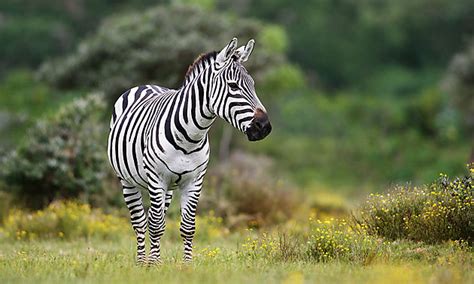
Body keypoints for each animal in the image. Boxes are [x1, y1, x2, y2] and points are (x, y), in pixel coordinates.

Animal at [106, 37, 272, 264]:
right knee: (140, 222)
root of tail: (146, 85)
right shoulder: (157, 178)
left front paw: (186, 265)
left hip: (167, 188)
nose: (264, 127)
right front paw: (154, 265)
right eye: (233, 86)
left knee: (154, 218)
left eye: (253, 85)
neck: (190, 137)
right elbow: (155, 226)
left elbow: (187, 227)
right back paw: (142, 262)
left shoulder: (194, 181)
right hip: (128, 181)